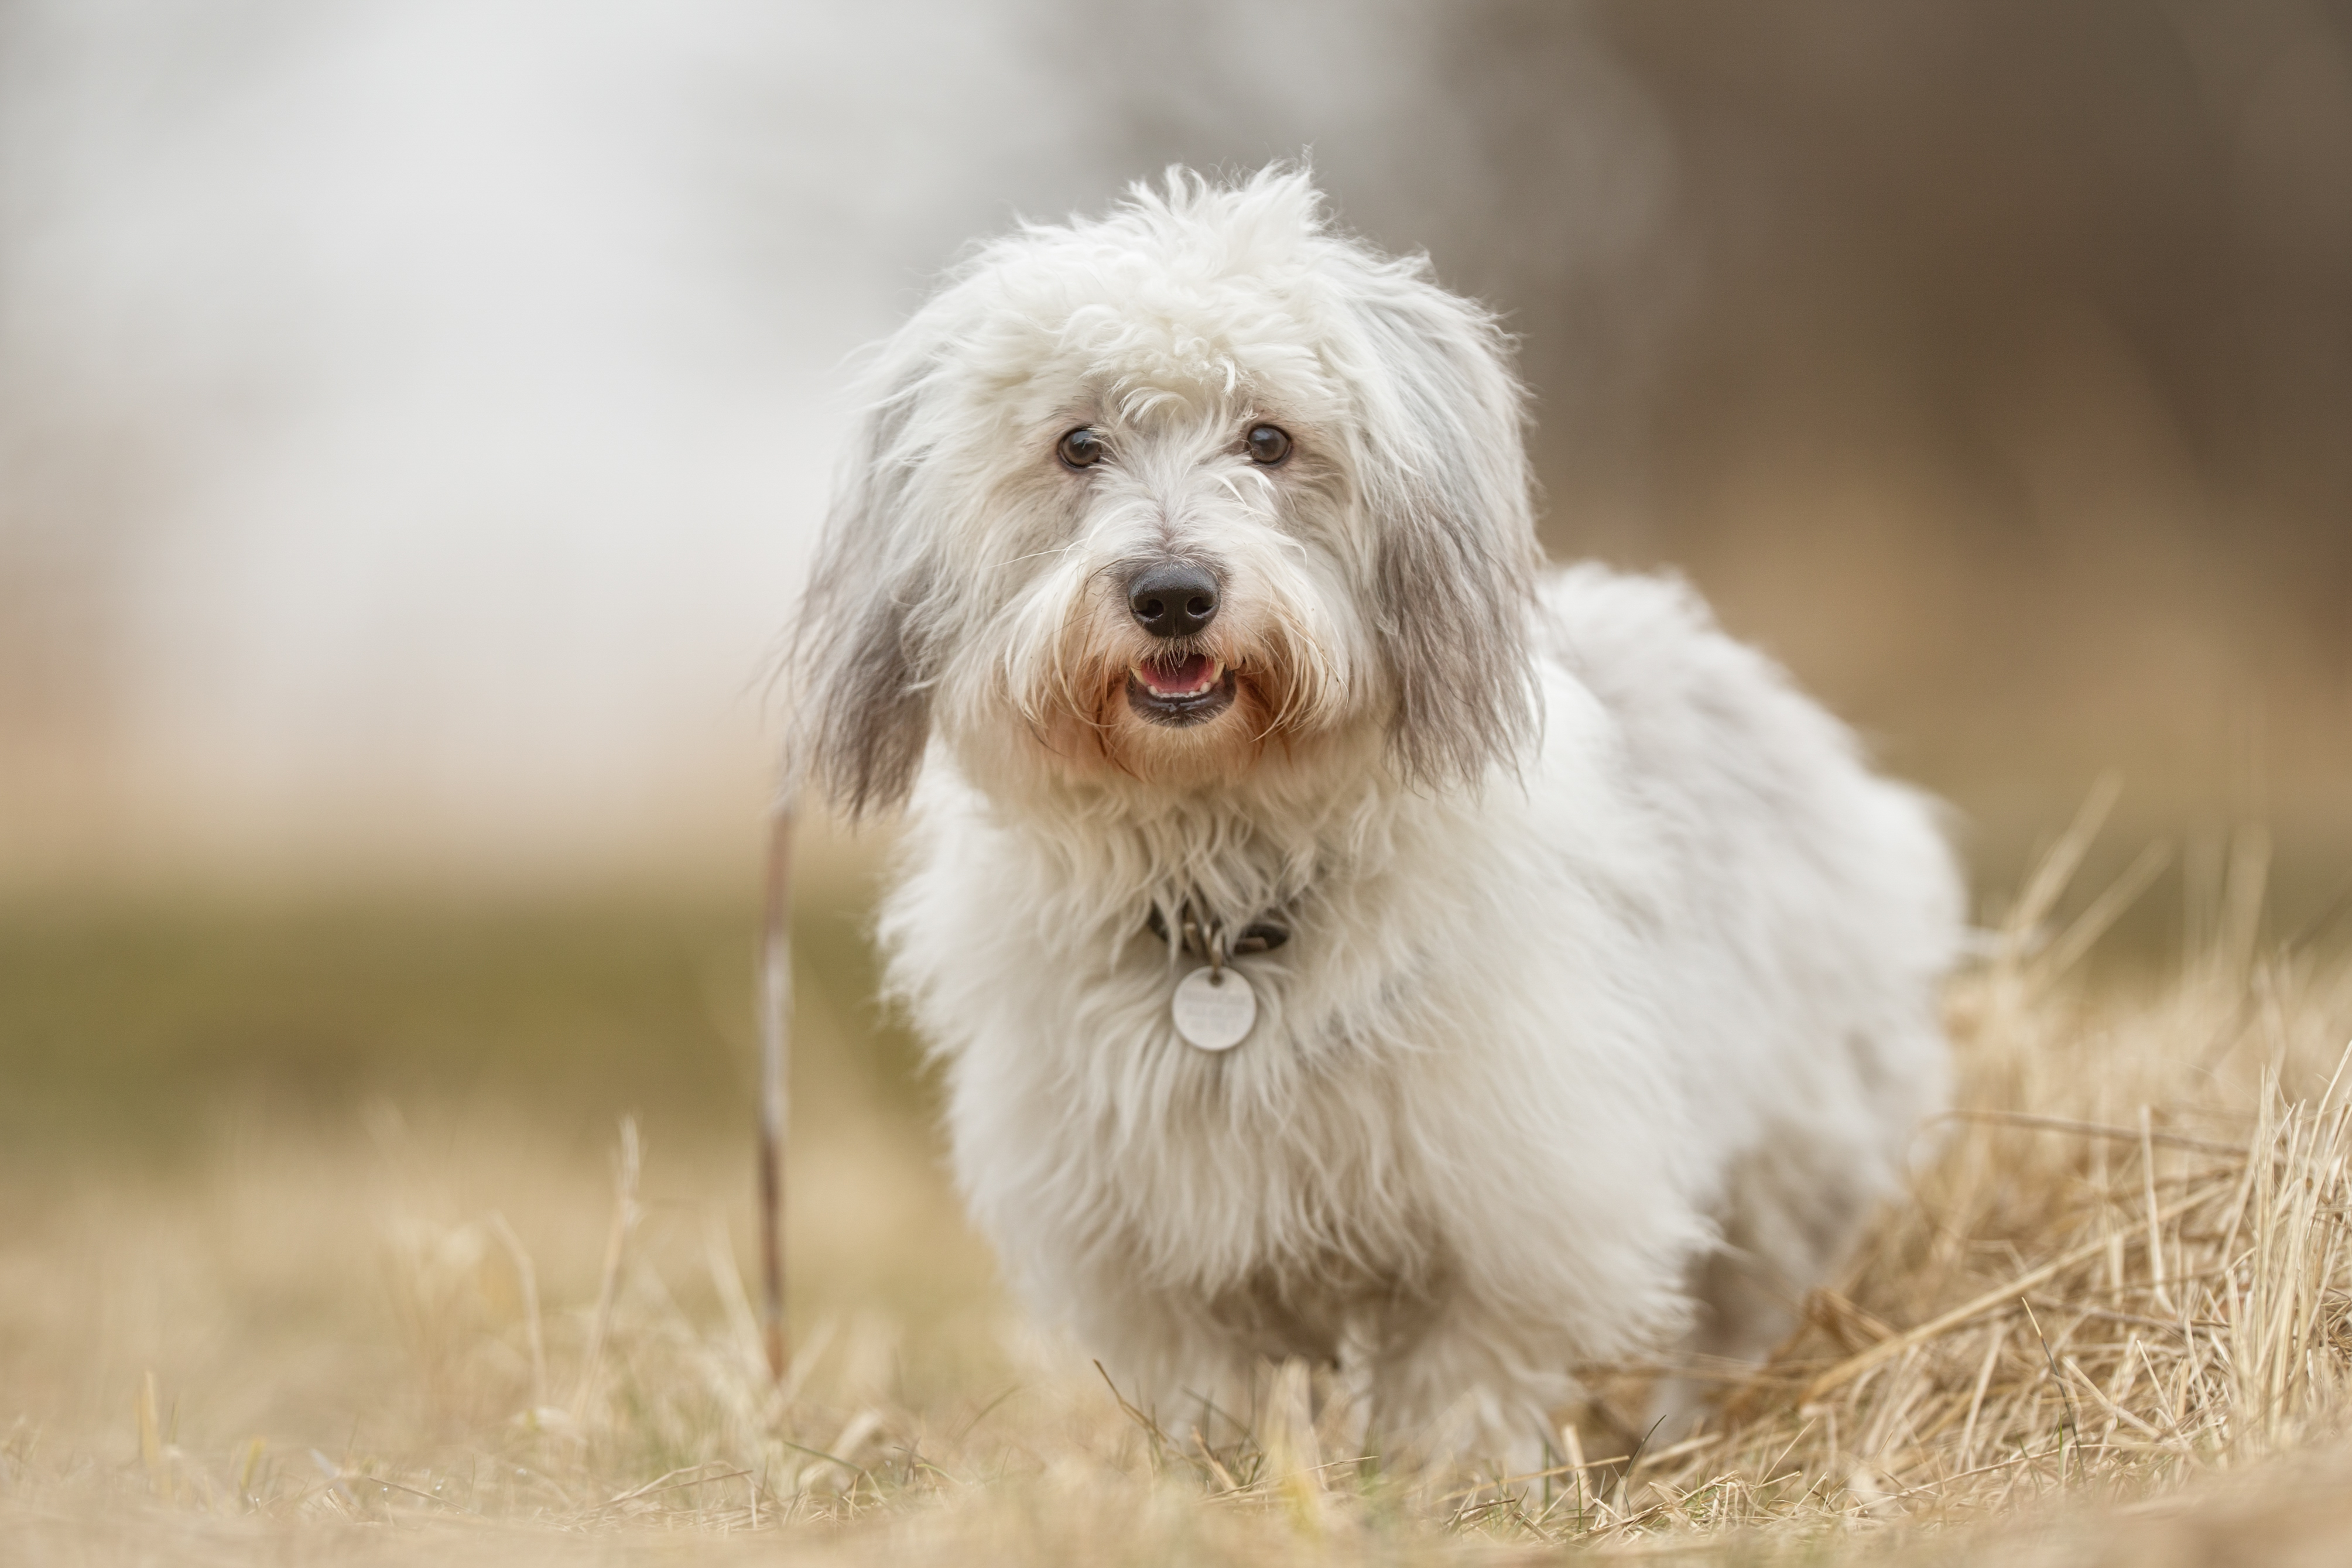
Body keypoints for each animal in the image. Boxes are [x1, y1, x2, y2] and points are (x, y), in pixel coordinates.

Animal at [790, 169, 1966, 1457]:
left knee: (1737, 1312)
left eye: (1267, 438)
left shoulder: (1511, 1201)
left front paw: (1443, 1479)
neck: (1225, 888)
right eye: (1077, 445)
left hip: (1791, 1163)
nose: (1172, 592)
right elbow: (1206, 1396)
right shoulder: (1153, 1249)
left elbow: (1463, 1380)